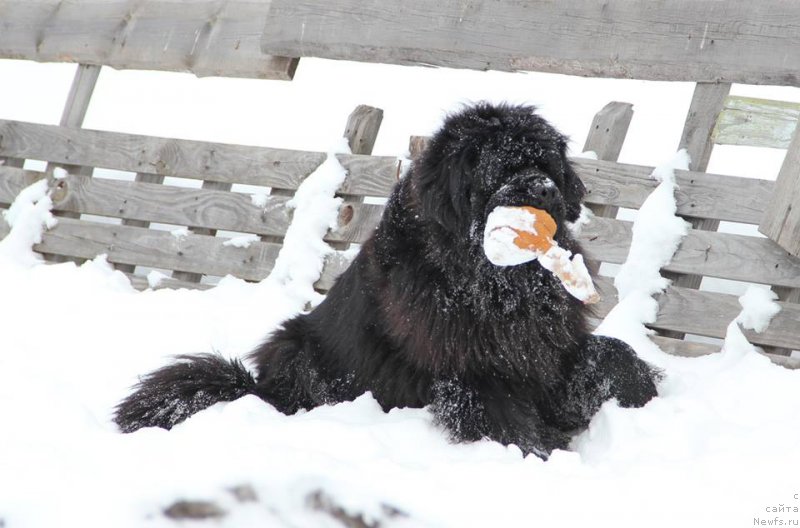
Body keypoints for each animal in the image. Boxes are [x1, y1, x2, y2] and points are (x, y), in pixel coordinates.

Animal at [115, 103, 660, 458]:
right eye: (503, 169)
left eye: (545, 164)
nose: (544, 188)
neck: (490, 281)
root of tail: (258, 389)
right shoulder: (472, 367)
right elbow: (501, 413)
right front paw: (540, 452)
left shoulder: (547, 348)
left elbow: (609, 354)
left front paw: (639, 396)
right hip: (295, 347)